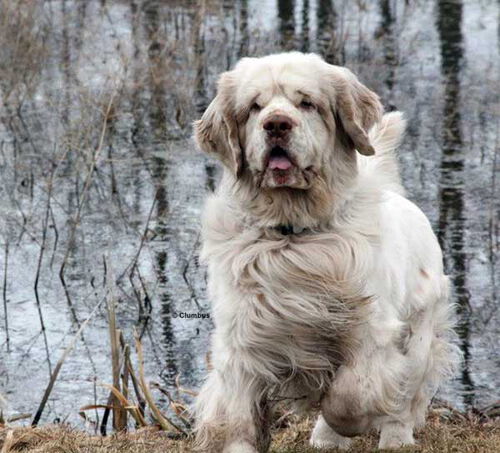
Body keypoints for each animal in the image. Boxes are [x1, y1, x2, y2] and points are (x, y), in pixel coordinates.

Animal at [192, 52, 458, 452]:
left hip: (419, 335)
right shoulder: (243, 338)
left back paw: (389, 438)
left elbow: (348, 398)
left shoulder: (370, 333)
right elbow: (237, 419)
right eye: (254, 107)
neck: (294, 237)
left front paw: (347, 424)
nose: (277, 124)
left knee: (402, 400)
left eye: (307, 103)